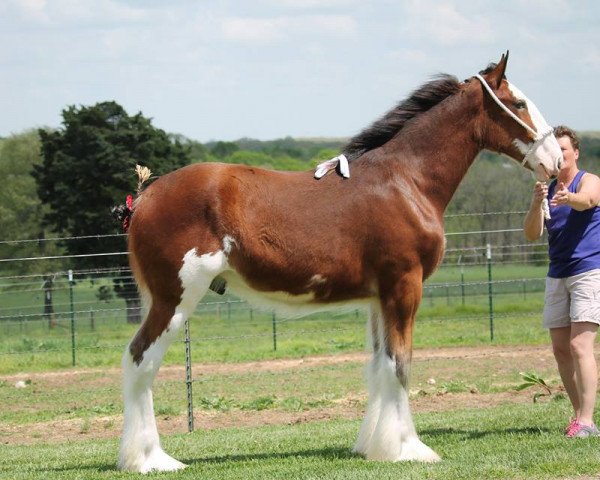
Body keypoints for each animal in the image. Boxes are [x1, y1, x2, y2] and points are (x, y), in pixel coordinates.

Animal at [118, 53, 564, 472]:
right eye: (519, 103)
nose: (556, 160)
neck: (405, 181)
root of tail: (145, 197)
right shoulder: (405, 286)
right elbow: (400, 365)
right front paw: (409, 449)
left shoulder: (379, 298)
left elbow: (379, 367)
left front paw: (374, 446)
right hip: (175, 298)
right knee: (141, 360)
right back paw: (151, 459)